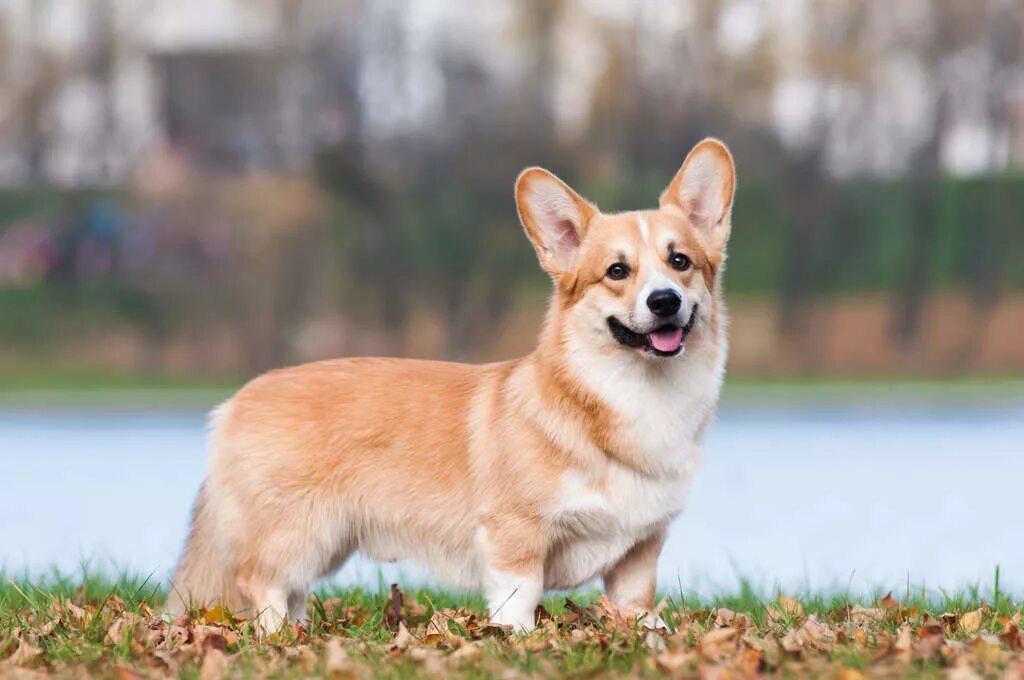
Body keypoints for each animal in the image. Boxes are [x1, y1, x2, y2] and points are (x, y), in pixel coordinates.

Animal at [174, 137, 737, 630]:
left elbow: (637, 609)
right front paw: (517, 640)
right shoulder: (515, 535)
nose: (664, 301)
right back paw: (276, 638)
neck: (633, 394)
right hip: (300, 533)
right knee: (260, 580)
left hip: (325, 543)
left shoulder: (639, 552)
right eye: (617, 271)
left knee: (292, 591)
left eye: (680, 262)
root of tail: (235, 402)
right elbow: (519, 599)